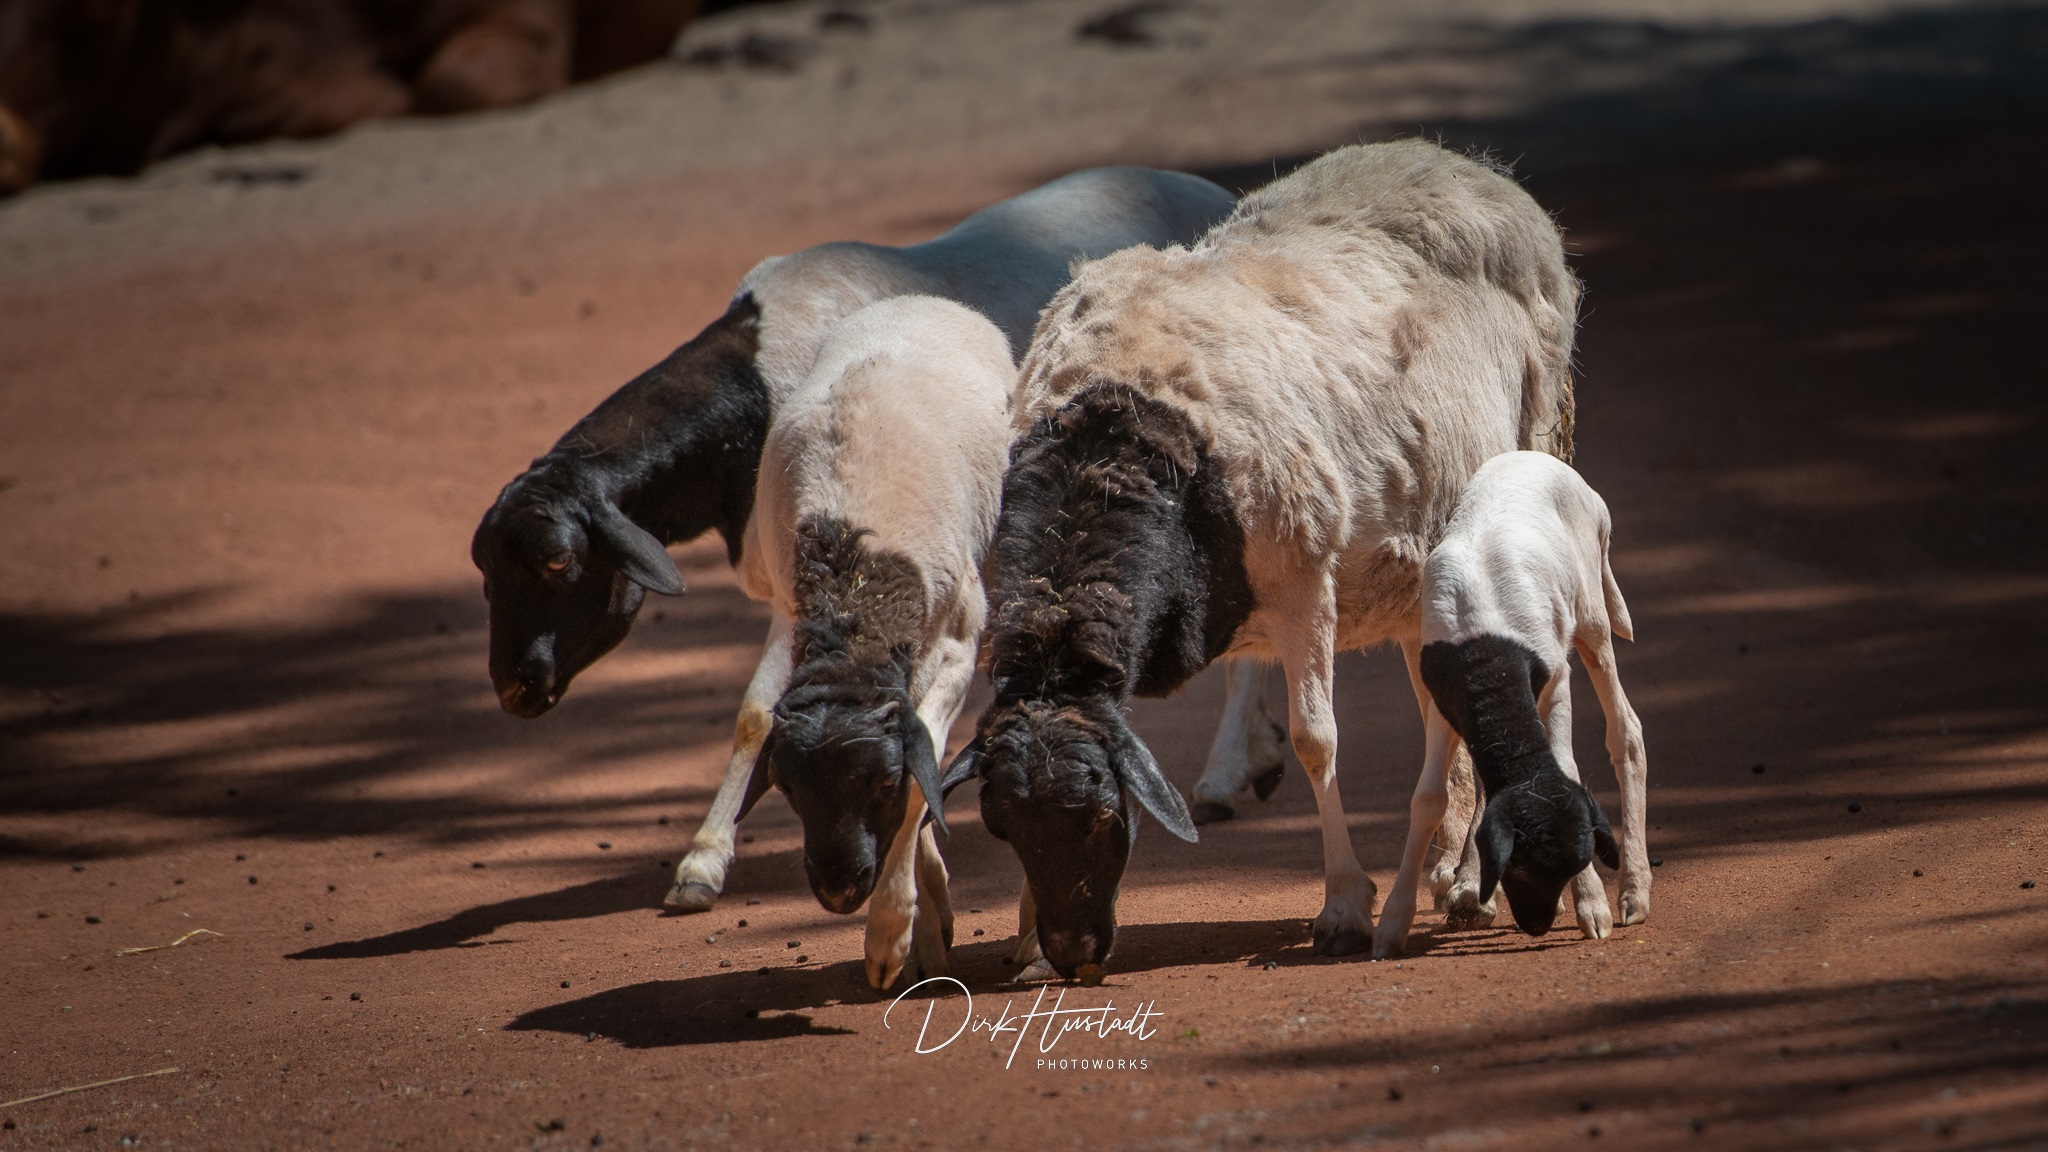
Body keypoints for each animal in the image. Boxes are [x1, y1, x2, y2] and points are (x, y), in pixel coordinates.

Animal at [470, 165, 1238, 915]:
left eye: (558, 560)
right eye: (483, 570)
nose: (514, 689)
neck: (753, 389)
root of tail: (1210, 190)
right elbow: (757, 716)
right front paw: (703, 862)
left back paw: (1230, 776)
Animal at [942, 140, 1580, 978]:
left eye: (1104, 819)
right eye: (1005, 829)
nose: (1075, 949)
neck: (1114, 432)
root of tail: (1460, 162)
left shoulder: (1303, 580)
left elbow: (1317, 741)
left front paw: (1344, 907)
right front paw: (1029, 947)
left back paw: (1469, 881)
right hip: (1421, 578)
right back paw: (1455, 870)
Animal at [1372, 451, 1649, 957]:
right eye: (1515, 865)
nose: (1536, 924)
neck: (1487, 656)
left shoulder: (1555, 681)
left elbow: (1569, 770)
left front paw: (1592, 906)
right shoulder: (1444, 702)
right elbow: (1428, 798)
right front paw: (1392, 923)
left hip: (1592, 615)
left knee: (1626, 729)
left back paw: (1635, 893)